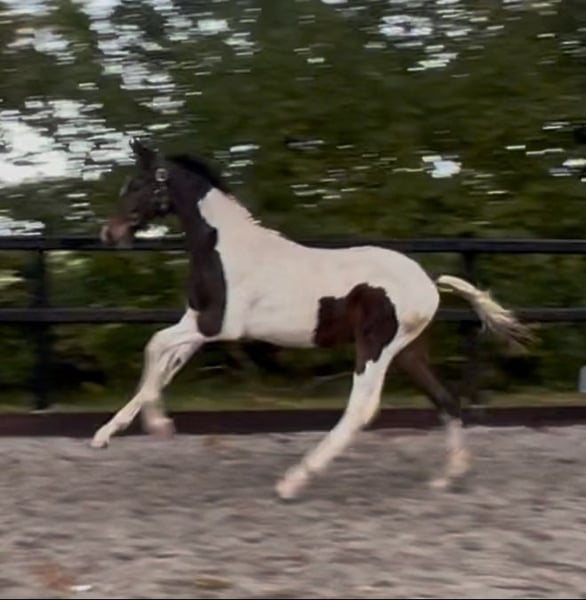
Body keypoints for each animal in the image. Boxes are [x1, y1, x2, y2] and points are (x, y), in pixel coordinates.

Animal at [92, 138, 534, 500]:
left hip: (375, 348)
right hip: (408, 353)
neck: (225, 248)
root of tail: (428, 282)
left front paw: (145, 427)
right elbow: (161, 360)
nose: (108, 234)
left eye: (138, 185)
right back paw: (447, 477)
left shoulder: (217, 325)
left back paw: (294, 481)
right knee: (446, 400)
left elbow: (155, 346)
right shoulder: (198, 324)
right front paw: (120, 432)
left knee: (362, 410)